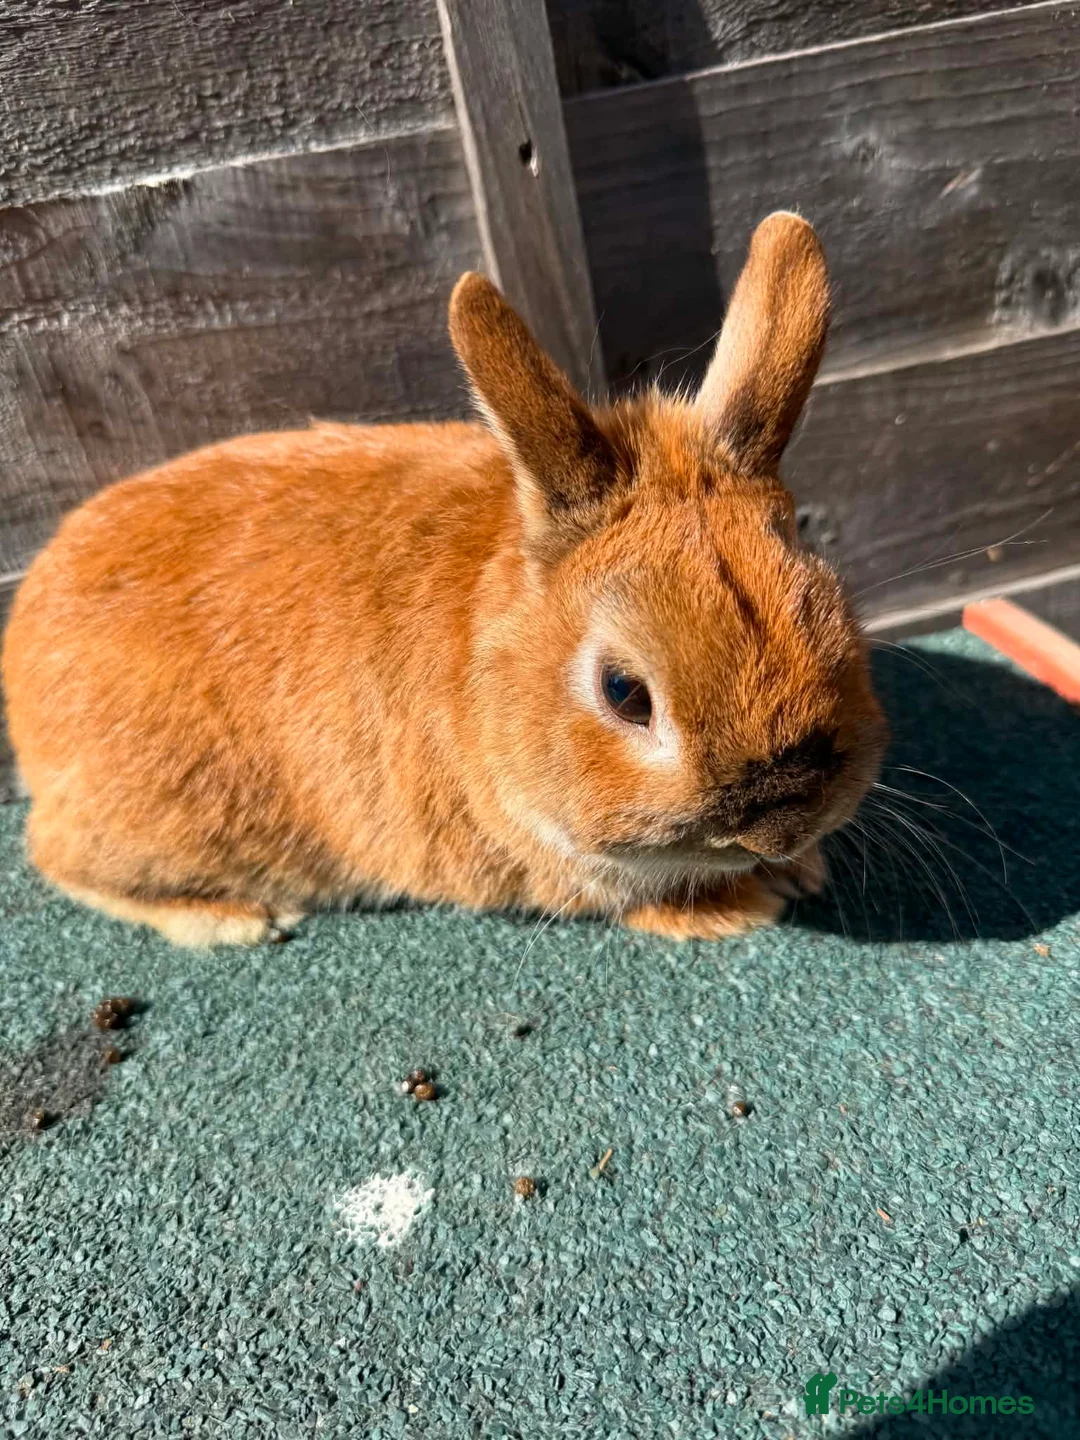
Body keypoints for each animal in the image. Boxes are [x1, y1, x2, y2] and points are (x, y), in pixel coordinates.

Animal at [2, 211, 886, 948]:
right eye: (624, 694)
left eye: (832, 608)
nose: (783, 823)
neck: (489, 661)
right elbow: (642, 897)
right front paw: (744, 904)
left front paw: (800, 870)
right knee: (55, 859)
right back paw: (234, 920)